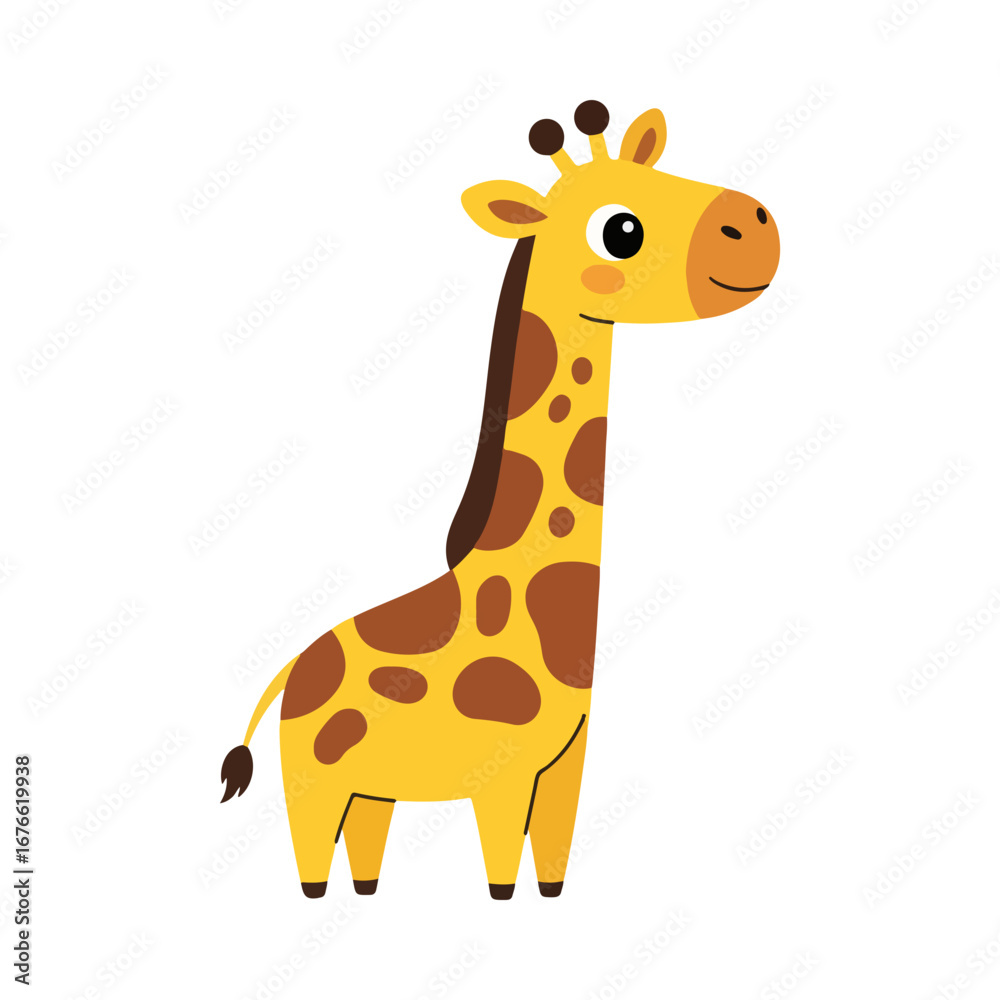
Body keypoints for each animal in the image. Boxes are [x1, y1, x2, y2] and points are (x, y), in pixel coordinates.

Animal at [220, 100, 780, 900]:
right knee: (310, 863)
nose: (753, 224)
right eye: (620, 230)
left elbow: (551, 872)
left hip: (370, 788)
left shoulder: (567, 769)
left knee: (365, 852)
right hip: (312, 783)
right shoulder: (503, 776)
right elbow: (501, 880)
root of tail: (289, 674)